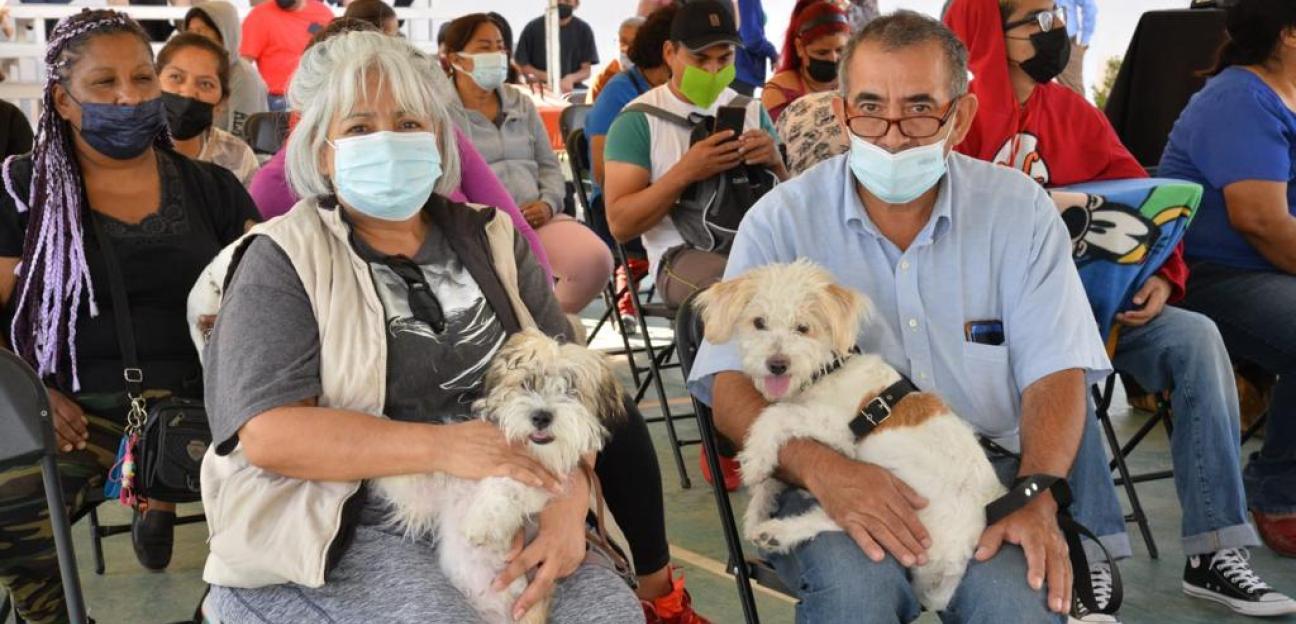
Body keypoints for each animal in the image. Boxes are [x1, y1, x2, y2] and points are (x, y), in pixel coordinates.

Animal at [373, 328, 624, 620]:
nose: (541, 416)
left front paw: (482, 521)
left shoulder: (542, 482)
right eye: (526, 383)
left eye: (571, 390)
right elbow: (408, 481)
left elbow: (507, 483)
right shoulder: (429, 494)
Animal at [694, 260, 1005, 609]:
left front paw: (755, 462)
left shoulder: (836, 427)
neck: (826, 370)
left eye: (803, 328)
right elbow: (774, 471)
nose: (776, 365)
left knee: (847, 521)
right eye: (759, 323)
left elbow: (774, 415)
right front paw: (756, 508)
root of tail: (960, 555)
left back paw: (781, 532)